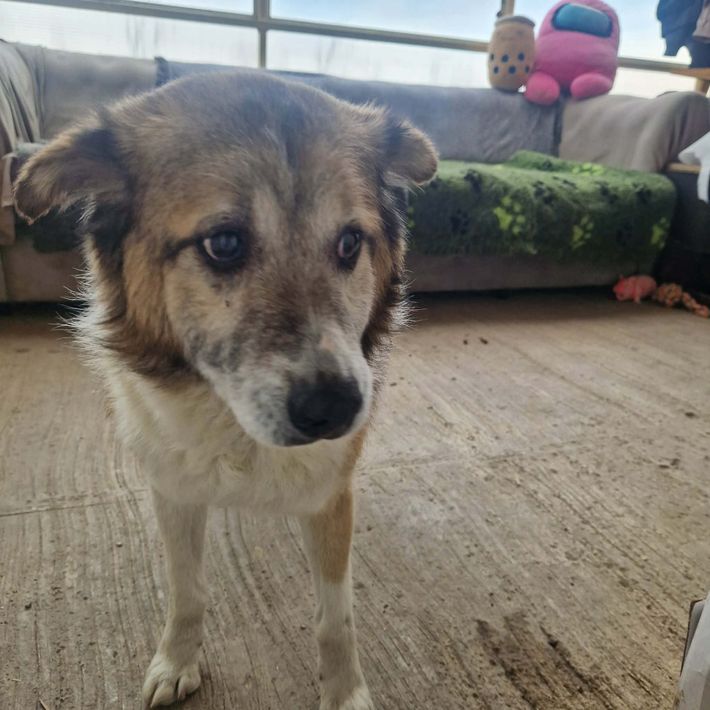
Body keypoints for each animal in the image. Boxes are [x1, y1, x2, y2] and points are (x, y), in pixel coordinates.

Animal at [14, 70, 437, 709]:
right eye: (224, 244)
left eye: (349, 243)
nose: (337, 408)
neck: (231, 420)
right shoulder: (173, 489)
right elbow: (186, 591)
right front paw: (176, 662)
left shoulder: (331, 494)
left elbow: (335, 618)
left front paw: (344, 694)